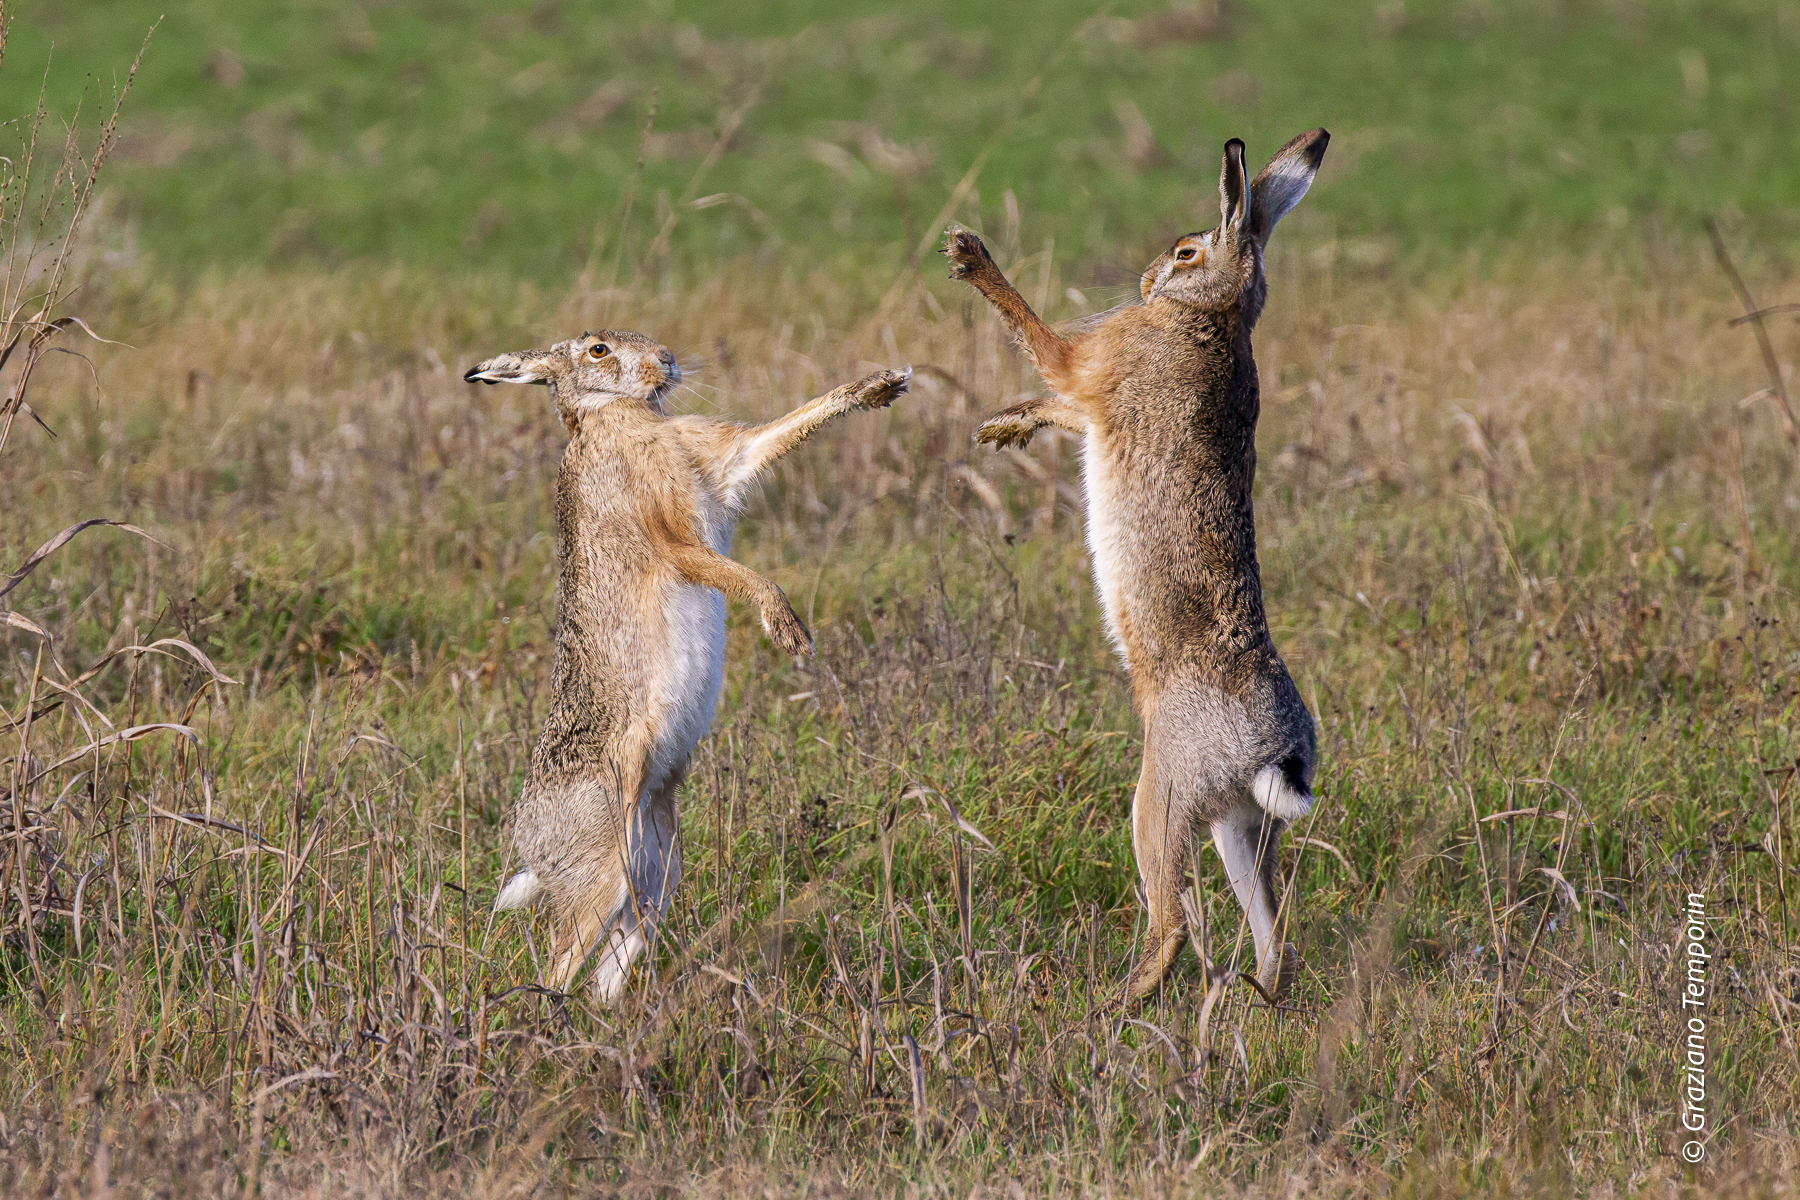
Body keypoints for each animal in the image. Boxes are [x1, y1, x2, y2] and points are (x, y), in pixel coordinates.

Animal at [465, 330, 910, 1001]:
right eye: (598, 349)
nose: (668, 362)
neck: (614, 413)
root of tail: (533, 844)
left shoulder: (722, 464)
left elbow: (778, 432)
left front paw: (877, 386)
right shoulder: (670, 533)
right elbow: (716, 564)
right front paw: (787, 629)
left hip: (655, 867)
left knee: (615, 956)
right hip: (605, 862)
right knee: (560, 959)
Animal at [944, 129, 1329, 1005]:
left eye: (1188, 251)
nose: (1151, 279)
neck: (1214, 317)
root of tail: (1274, 749)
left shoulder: (1092, 365)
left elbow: (1044, 344)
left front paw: (972, 257)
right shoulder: (1094, 397)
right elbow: (1060, 402)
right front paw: (1006, 427)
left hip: (1159, 800)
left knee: (1173, 922)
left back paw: (1115, 1005)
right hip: (1236, 824)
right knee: (1272, 930)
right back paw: (1253, 999)